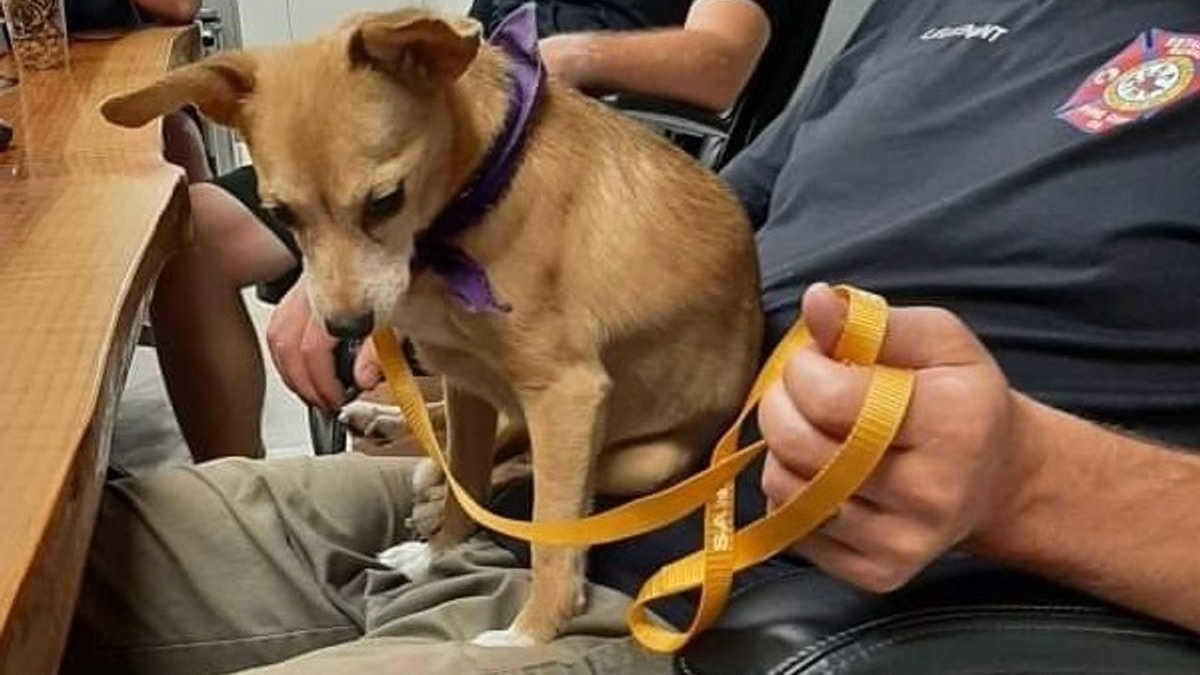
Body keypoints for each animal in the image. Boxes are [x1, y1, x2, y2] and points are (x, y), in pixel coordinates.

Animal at [103, 6, 758, 648]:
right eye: (281, 213)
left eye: (385, 200)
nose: (346, 325)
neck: (477, 198)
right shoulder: (466, 380)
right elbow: (466, 476)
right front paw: (436, 551)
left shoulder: (567, 393)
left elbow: (549, 527)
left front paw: (533, 631)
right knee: (484, 445)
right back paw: (393, 433)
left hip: (648, 460)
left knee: (532, 467)